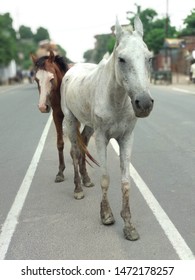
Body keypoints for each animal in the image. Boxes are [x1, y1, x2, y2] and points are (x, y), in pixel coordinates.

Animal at [31, 50, 96, 199]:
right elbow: (60, 143)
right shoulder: (57, 115)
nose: (43, 107)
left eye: (51, 78)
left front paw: (83, 177)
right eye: (36, 79)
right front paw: (60, 172)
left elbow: (79, 145)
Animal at [61, 15, 154, 241]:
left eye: (149, 58)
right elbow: (105, 178)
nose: (144, 103)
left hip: (88, 127)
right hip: (70, 121)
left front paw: (129, 225)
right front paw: (106, 215)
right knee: (75, 152)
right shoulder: (102, 137)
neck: (117, 100)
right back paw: (78, 188)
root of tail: (72, 69)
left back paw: (86, 180)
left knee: (82, 147)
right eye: (121, 59)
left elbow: (126, 182)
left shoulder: (127, 137)